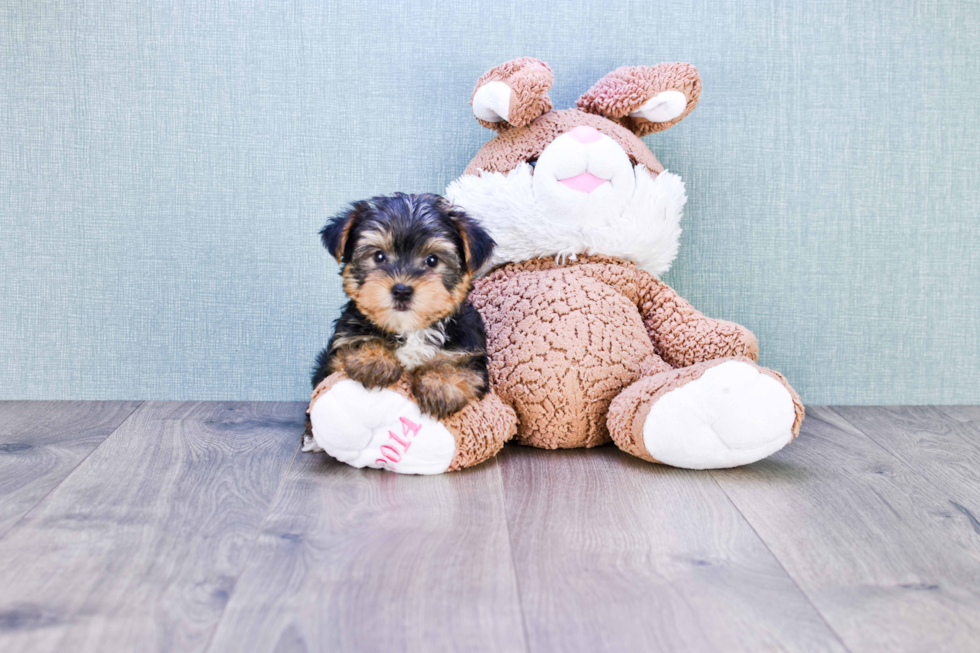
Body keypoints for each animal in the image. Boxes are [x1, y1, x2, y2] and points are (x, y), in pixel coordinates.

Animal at [306, 191, 494, 450]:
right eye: (379, 256)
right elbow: (354, 343)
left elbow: (459, 364)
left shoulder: (471, 350)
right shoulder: (335, 353)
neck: (410, 329)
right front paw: (374, 360)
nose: (402, 290)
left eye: (432, 260)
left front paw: (440, 384)